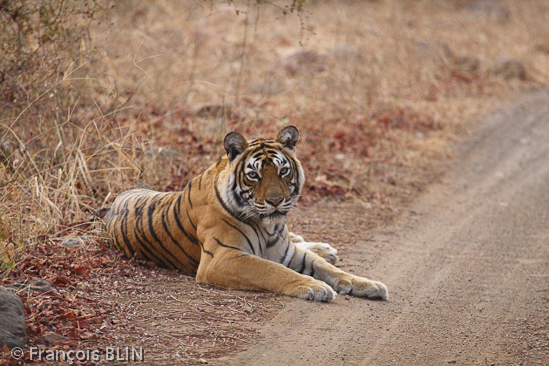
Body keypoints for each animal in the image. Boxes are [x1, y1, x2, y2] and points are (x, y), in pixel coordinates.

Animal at [101, 127, 386, 302]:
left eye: (283, 171)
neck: (269, 227)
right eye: (254, 175)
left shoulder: (287, 251)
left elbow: (327, 268)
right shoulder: (223, 257)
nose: (275, 201)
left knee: (302, 241)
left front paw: (369, 284)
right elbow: (273, 270)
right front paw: (315, 286)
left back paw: (325, 248)